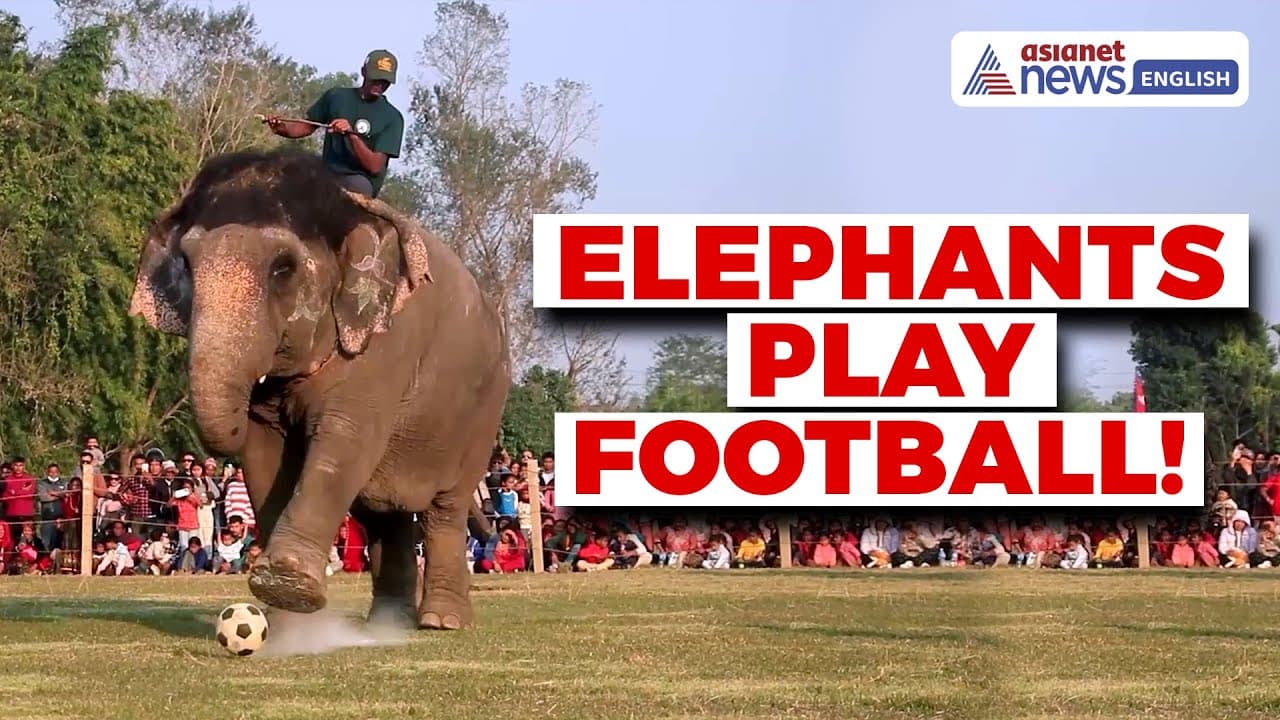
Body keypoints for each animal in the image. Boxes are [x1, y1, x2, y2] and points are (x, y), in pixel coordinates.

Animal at [128, 148, 509, 630]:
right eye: (188, 264)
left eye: (283, 268)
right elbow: (264, 453)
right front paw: (284, 617)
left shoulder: (385, 345)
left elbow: (346, 438)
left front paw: (288, 586)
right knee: (384, 510)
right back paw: (387, 624)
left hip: (484, 409)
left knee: (445, 508)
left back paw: (441, 621)